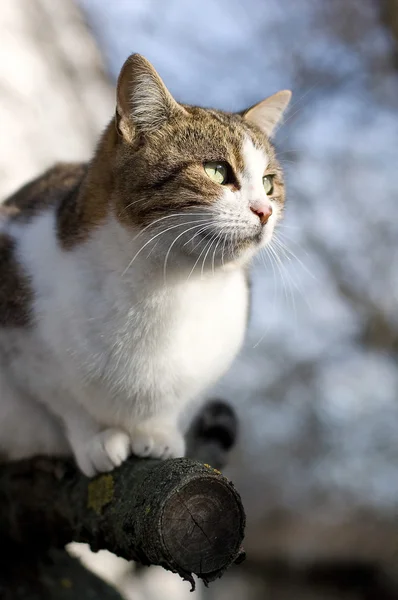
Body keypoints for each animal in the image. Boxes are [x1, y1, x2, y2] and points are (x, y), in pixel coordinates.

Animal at [0, 54, 292, 476]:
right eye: (217, 171)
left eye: (269, 184)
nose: (265, 211)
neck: (167, 284)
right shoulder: (24, 345)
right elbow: (68, 402)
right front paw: (95, 441)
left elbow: (174, 402)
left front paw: (158, 434)